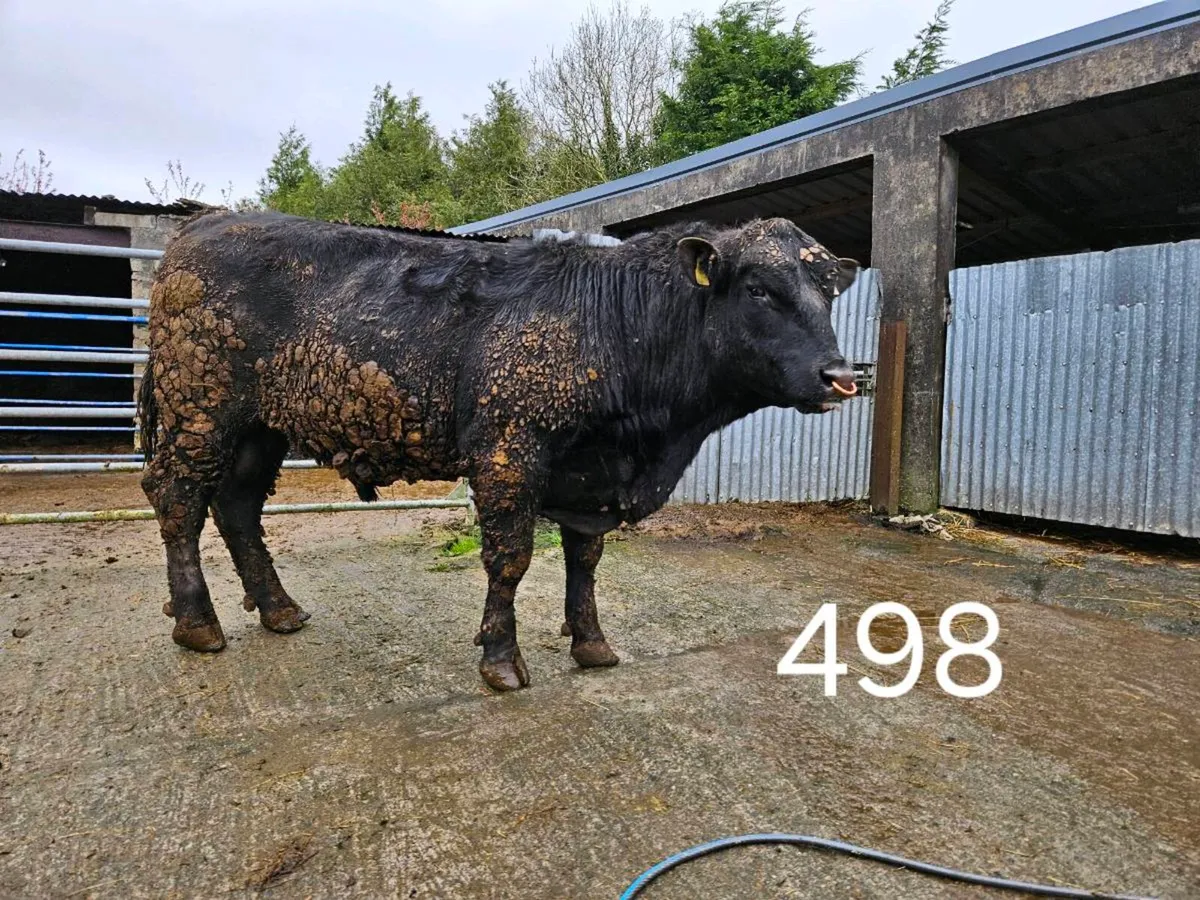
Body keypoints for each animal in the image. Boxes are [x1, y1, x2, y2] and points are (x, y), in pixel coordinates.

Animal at [138, 210, 860, 692]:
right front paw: (502, 661)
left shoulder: (589, 471)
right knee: (178, 500)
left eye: (828, 290)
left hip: (260, 429)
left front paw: (592, 644)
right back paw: (198, 624)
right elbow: (509, 559)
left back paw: (280, 610)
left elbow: (584, 559)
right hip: (202, 412)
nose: (840, 376)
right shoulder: (510, 449)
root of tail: (202, 227)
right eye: (760, 289)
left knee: (236, 507)